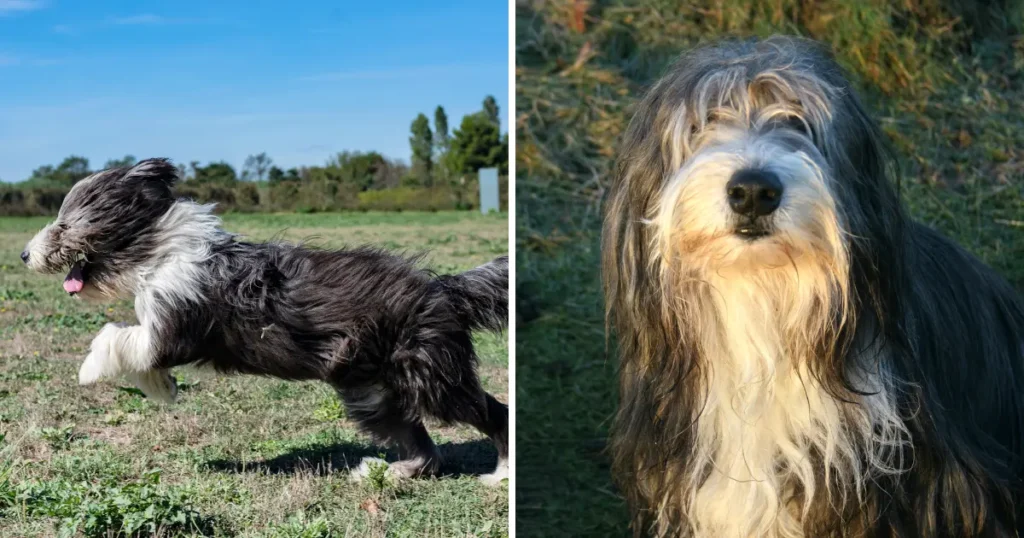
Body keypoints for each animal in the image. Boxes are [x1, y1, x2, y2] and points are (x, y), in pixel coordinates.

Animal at [24, 158, 512, 481]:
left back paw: (502, 474)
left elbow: (118, 336)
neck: (159, 252)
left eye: (65, 225)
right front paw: (161, 386)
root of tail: (444, 289)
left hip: (428, 373)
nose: (25, 254)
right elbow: (139, 350)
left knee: (493, 412)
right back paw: (390, 472)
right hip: (372, 390)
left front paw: (90, 370)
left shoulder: (175, 326)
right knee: (420, 443)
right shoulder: (161, 329)